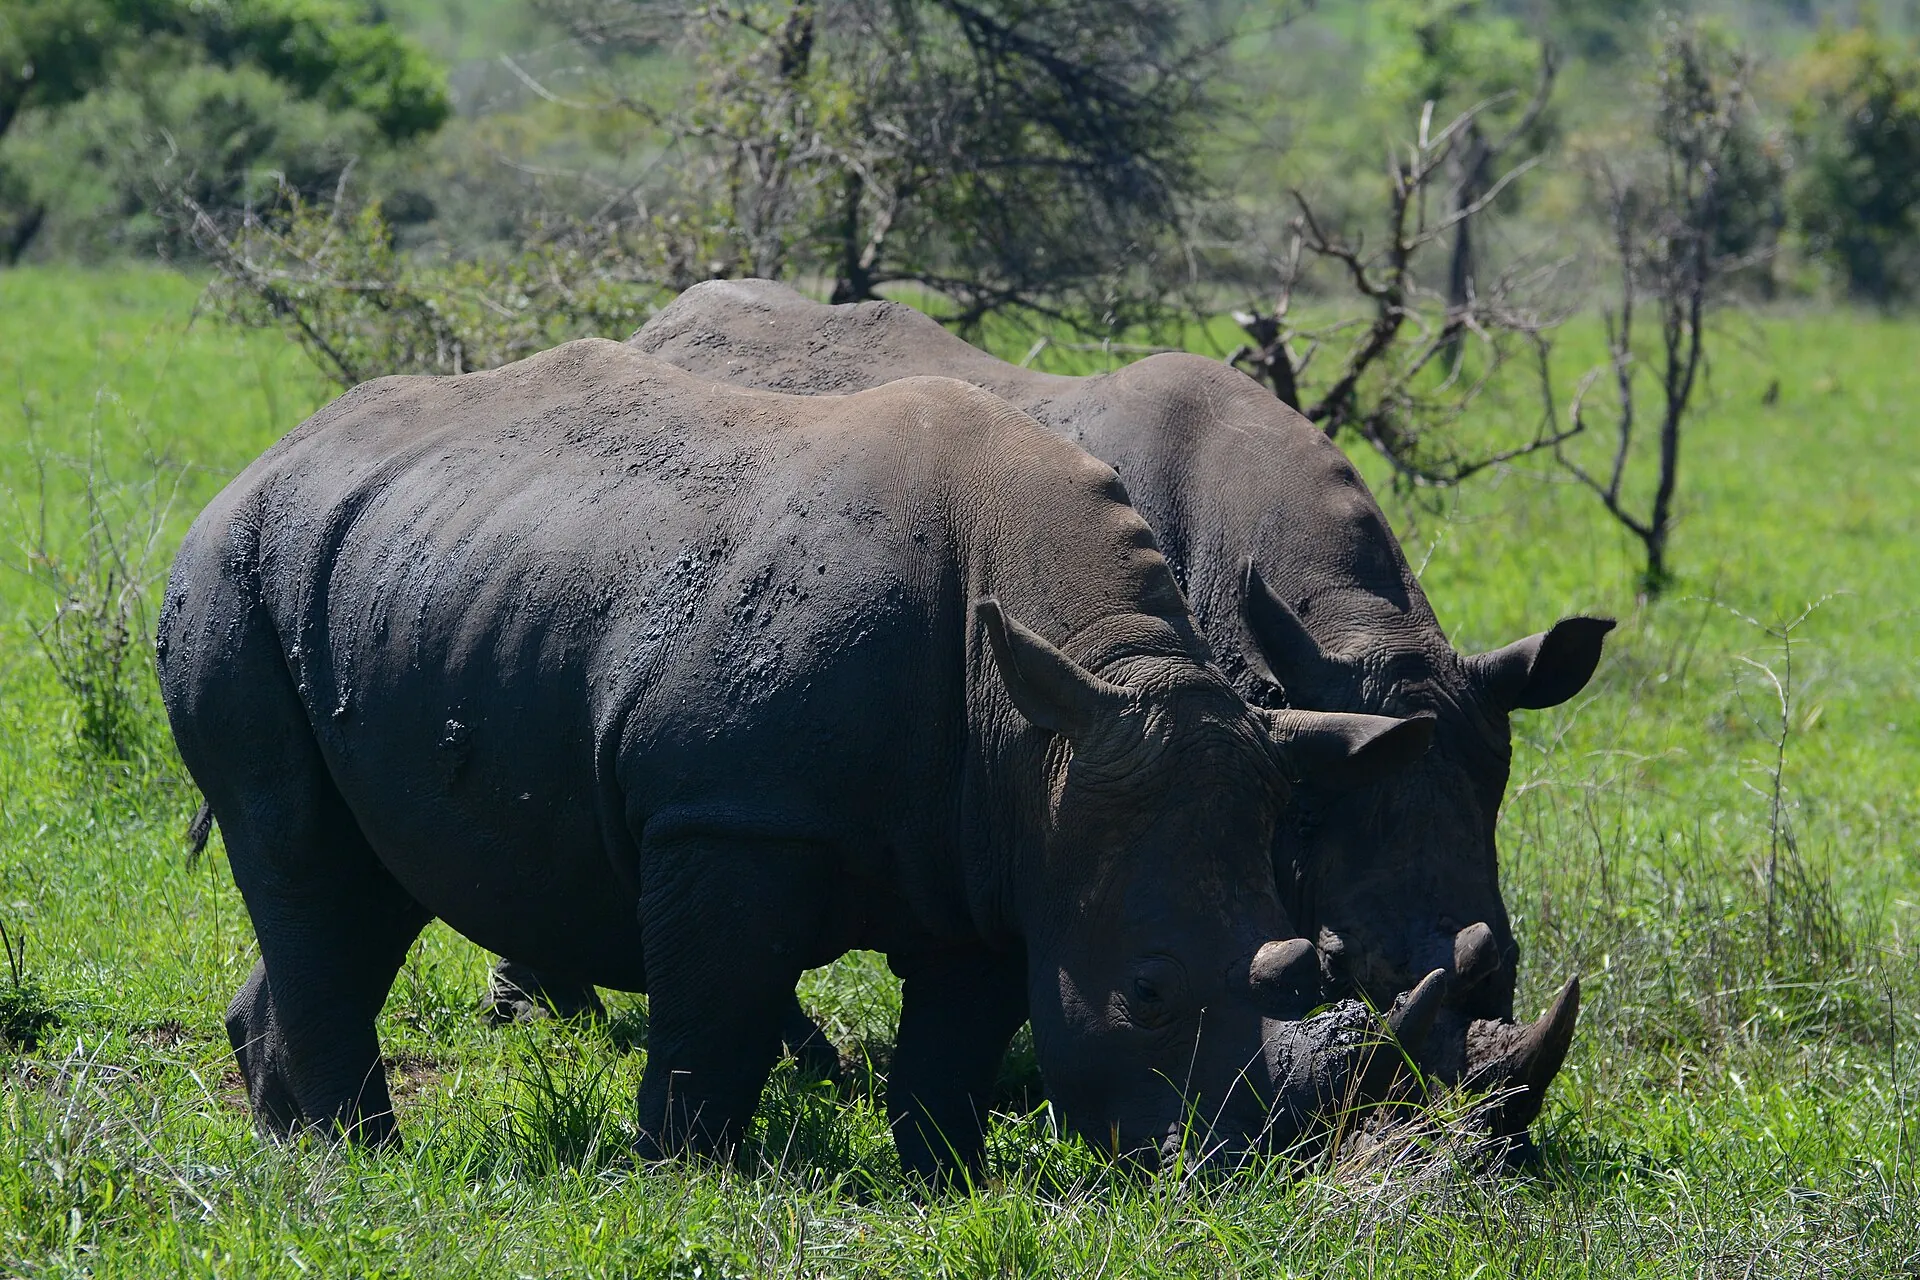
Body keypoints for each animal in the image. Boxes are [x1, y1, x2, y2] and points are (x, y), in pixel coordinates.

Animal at [158, 339, 1442, 1183]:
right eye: (1149, 991)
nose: (1237, 1172)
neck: (1061, 704)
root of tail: (261, 460)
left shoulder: (1003, 841)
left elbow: (954, 1040)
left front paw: (946, 1181)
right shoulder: (731, 812)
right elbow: (715, 1015)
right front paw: (688, 1176)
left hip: (389, 570)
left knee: (359, 884)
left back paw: (287, 1140)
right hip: (229, 573)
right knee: (301, 850)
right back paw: (361, 1159)